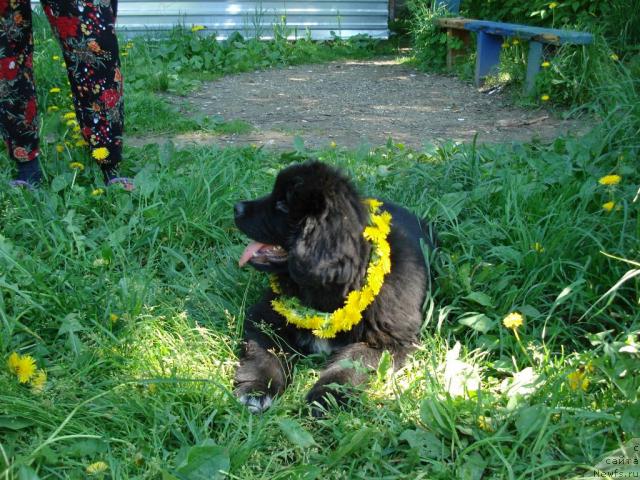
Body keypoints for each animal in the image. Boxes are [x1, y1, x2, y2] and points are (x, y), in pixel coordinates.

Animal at [232, 160, 432, 412]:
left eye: (282, 204)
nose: (236, 207)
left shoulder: (390, 342)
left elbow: (351, 362)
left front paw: (325, 397)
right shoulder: (265, 317)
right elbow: (265, 353)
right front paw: (256, 389)